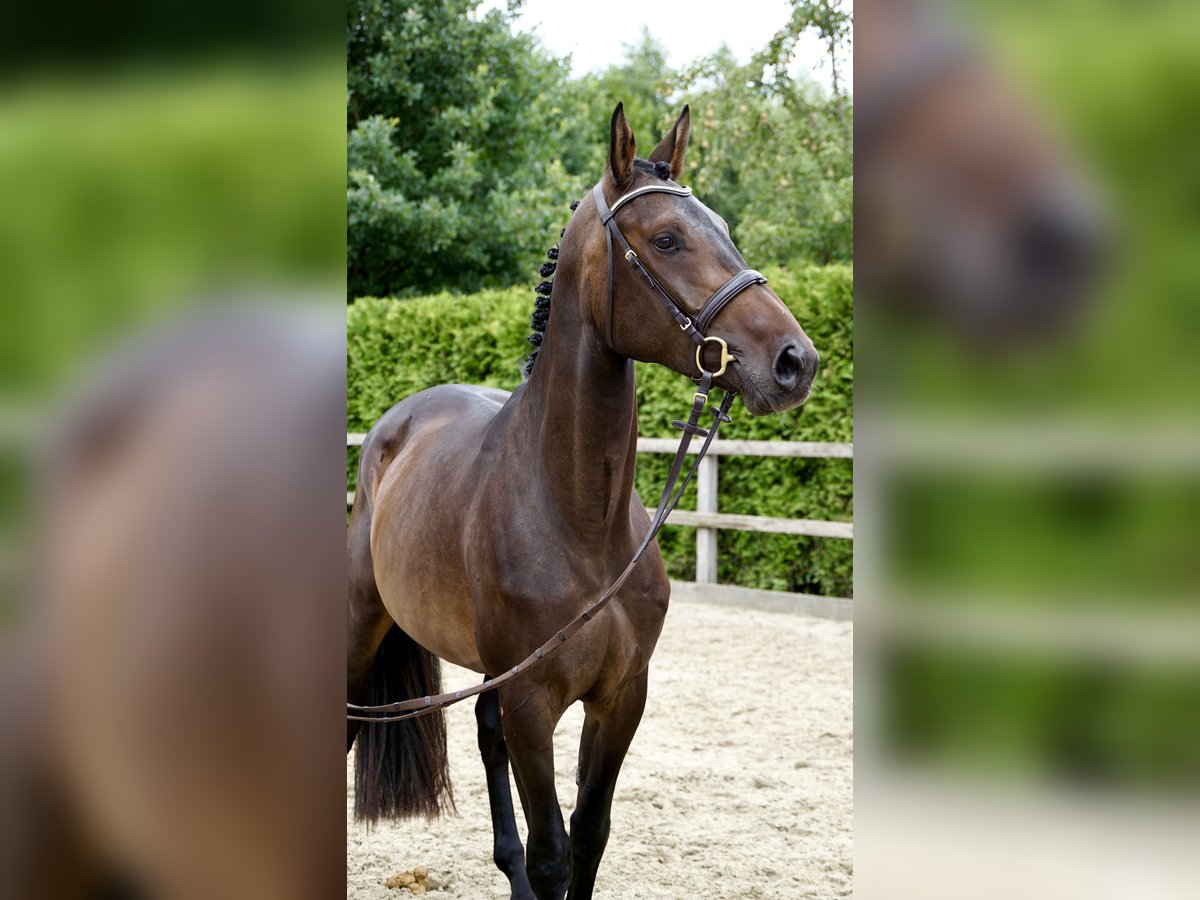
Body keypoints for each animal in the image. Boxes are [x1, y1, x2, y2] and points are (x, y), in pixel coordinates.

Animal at [346, 103, 818, 899]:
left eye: (725, 228)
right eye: (666, 238)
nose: (796, 361)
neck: (581, 522)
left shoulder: (622, 696)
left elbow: (588, 835)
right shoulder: (534, 703)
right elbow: (553, 850)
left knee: (485, 734)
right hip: (360, 628)